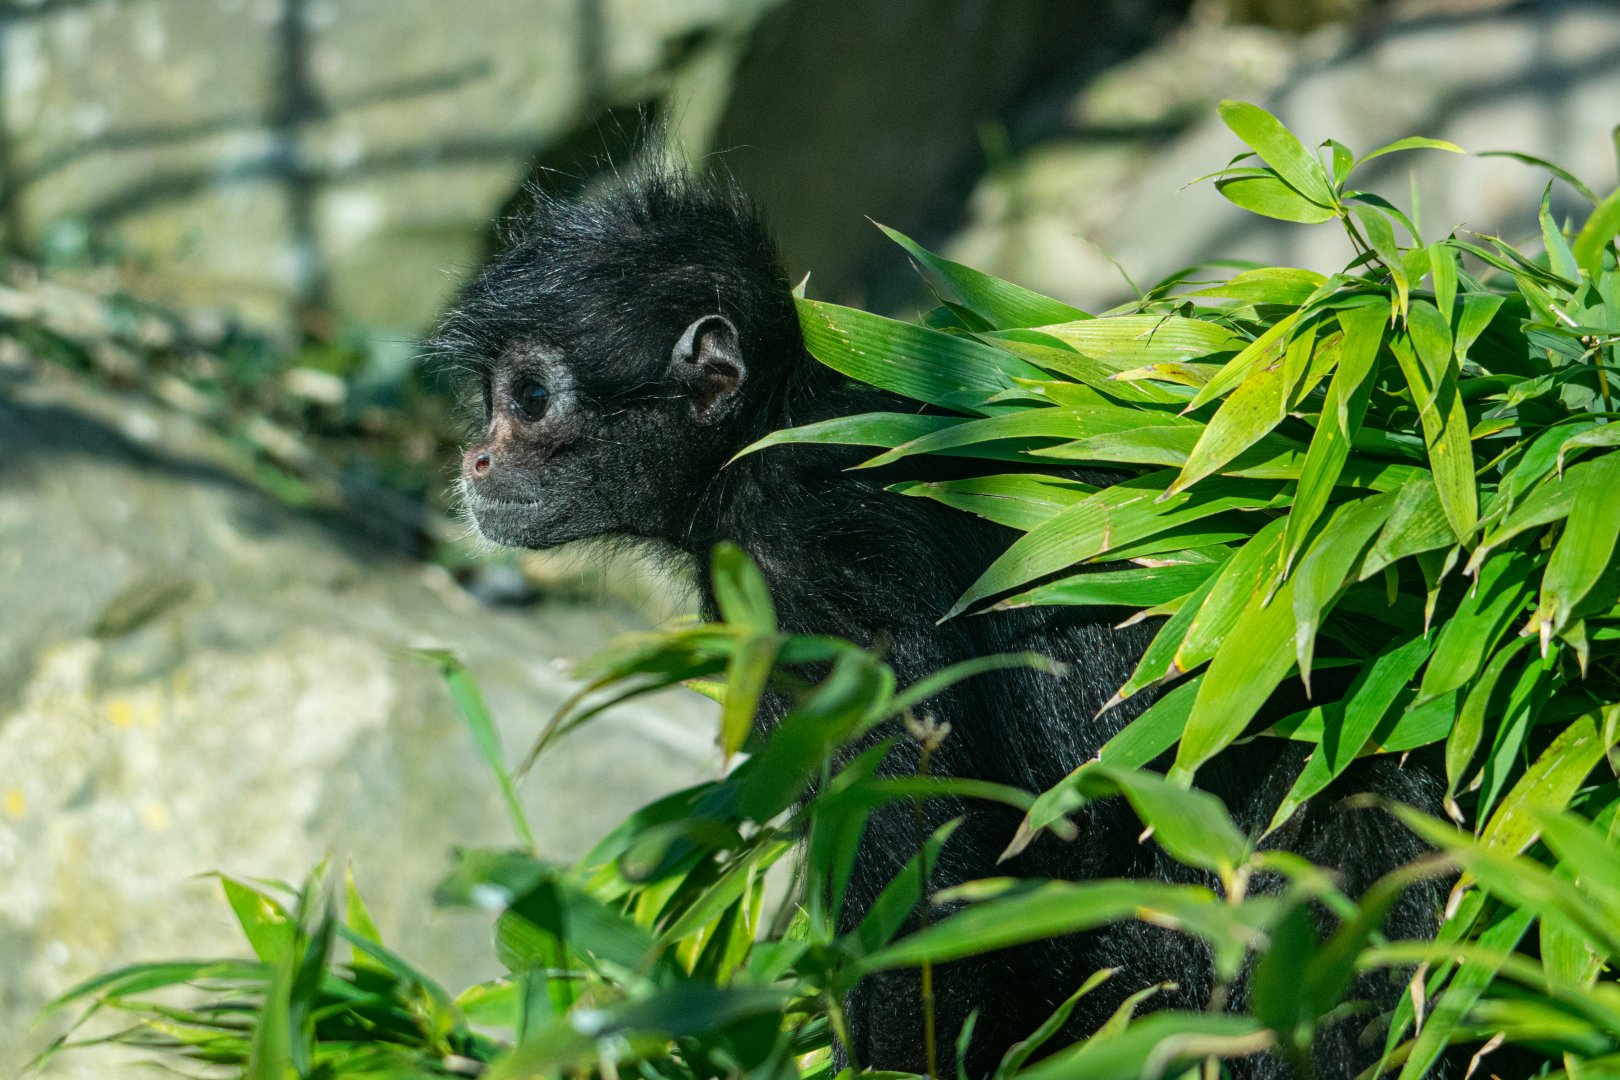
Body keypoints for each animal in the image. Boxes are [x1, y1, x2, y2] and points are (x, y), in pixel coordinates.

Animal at [433, 163, 1444, 1079]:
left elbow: (932, 914)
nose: (475, 458)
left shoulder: (823, 570)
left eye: (529, 399)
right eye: (495, 402)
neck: (780, 428)